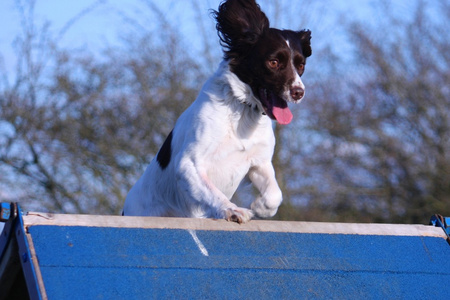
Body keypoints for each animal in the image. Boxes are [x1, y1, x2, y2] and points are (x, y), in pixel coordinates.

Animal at [123, 0, 312, 223]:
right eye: (273, 62)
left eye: (301, 65)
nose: (299, 92)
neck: (242, 111)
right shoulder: (189, 163)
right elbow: (213, 193)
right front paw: (233, 210)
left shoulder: (260, 162)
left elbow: (274, 194)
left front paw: (258, 206)